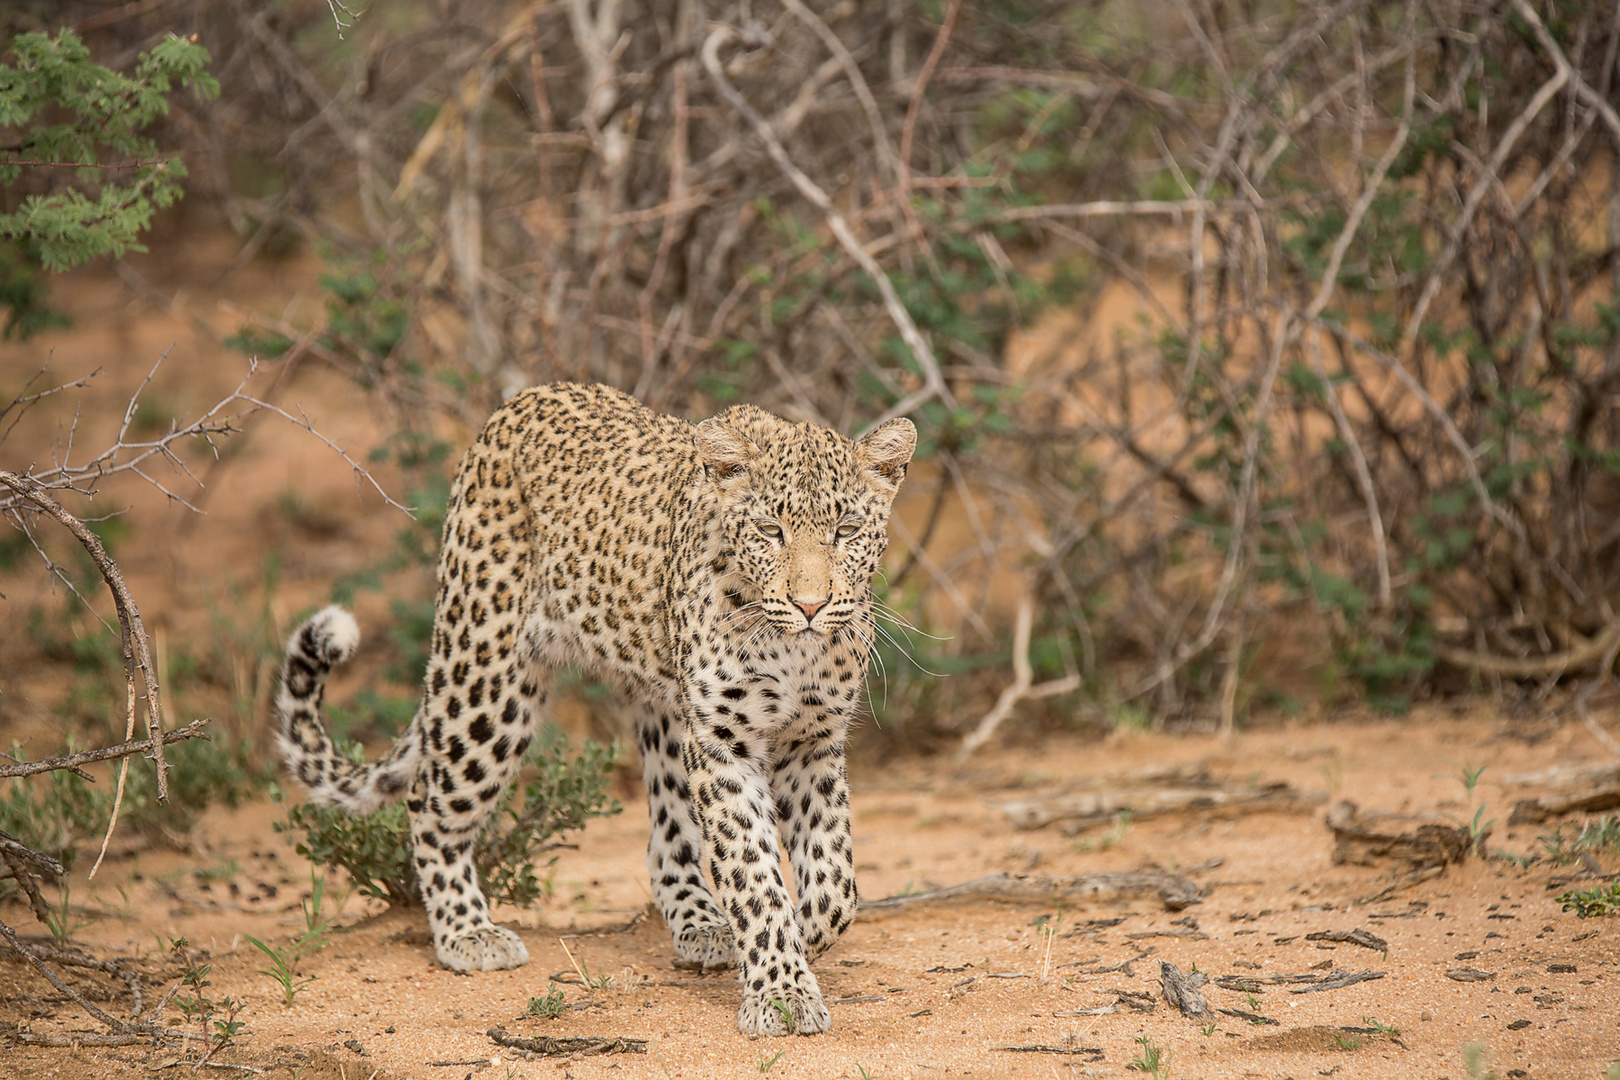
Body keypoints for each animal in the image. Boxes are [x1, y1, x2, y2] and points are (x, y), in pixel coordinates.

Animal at [272, 382, 920, 1036]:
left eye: (847, 528)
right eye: (768, 529)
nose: (810, 605)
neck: (793, 647)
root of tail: (521, 402)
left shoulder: (811, 741)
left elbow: (836, 885)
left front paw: (794, 945)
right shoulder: (723, 743)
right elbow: (754, 872)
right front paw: (780, 990)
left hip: (660, 708)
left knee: (665, 835)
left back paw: (702, 924)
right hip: (486, 679)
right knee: (428, 800)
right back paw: (467, 931)